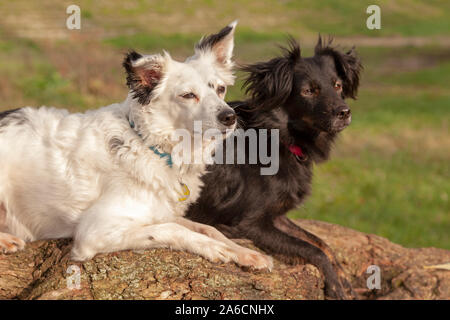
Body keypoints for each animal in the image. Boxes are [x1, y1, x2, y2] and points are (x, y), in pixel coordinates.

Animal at [0, 21, 272, 268]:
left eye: (221, 89)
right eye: (188, 95)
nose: (230, 117)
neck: (149, 144)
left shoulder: (160, 210)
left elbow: (207, 228)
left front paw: (244, 252)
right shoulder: (94, 231)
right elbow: (173, 229)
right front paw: (215, 249)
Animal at [186, 37, 362, 300]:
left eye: (338, 85)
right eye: (308, 91)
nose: (344, 112)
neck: (280, 138)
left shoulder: (276, 214)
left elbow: (319, 241)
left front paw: (342, 275)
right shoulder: (252, 223)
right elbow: (311, 249)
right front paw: (335, 286)